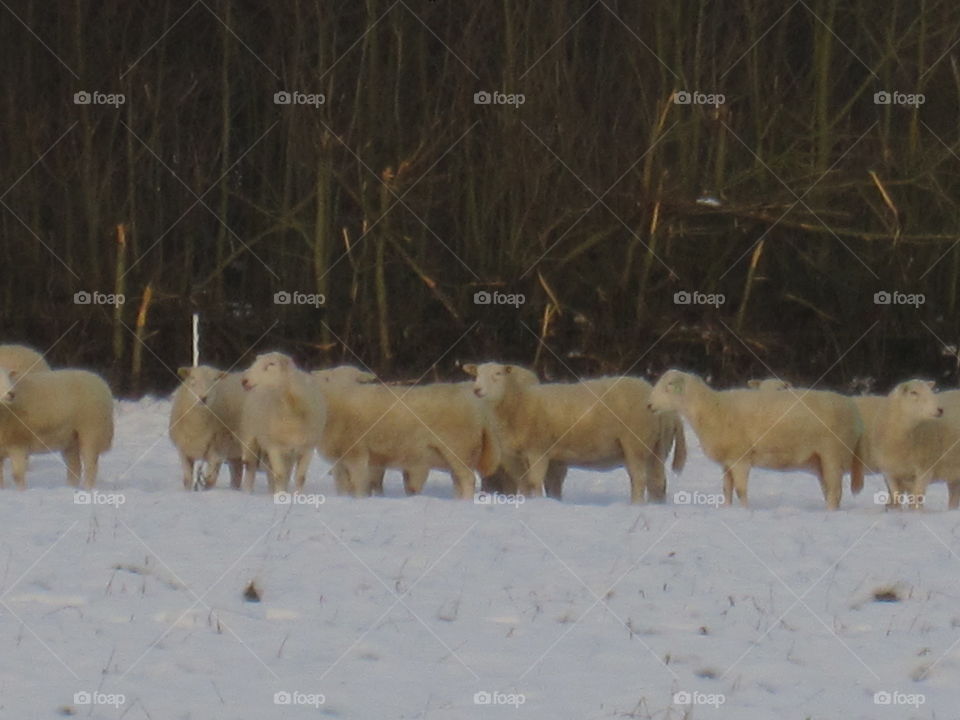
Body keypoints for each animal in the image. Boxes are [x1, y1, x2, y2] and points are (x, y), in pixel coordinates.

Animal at [240, 352, 326, 496]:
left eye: (271, 364)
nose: (244, 381)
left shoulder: (307, 448)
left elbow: (300, 478)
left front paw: (298, 496)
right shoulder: (274, 446)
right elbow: (279, 475)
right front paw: (280, 496)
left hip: (288, 452)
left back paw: (272, 491)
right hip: (250, 437)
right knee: (250, 466)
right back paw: (248, 491)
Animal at [314, 368, 502, 498]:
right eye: (327, 378)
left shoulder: (357, 453)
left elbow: (359, 484)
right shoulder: (342, 459)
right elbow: (343, 486)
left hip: (459, 447)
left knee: (467, 479)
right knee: (458, 481)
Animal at [464, 362, 684, 504]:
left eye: (497, 374)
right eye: (476, 375)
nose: (477, 390)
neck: (517, 403)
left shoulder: (538, 450)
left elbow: (534, 482)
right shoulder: (517, 456)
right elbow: (527, 484)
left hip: (636, 443)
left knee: (639, 480)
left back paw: (635, 505)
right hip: (657, 447)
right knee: (657, 483)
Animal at [644, 368, 864, 510]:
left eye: (669, 386)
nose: (648, 405)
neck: (711, 408)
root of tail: (853, 409)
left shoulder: (740, 458)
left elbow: (741, 490)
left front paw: (744, 511)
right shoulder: (727, 461)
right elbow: (727, 489)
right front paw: (727, 509)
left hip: (833, 453)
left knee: (835, 491)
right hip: (819, 460)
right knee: (830, 490)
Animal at [872, 380, 960, 510]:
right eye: (913, 392)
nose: (940, 409)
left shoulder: (925, 469)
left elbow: (916, 497)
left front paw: (915, 512)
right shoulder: (890, 472)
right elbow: (896, 496)